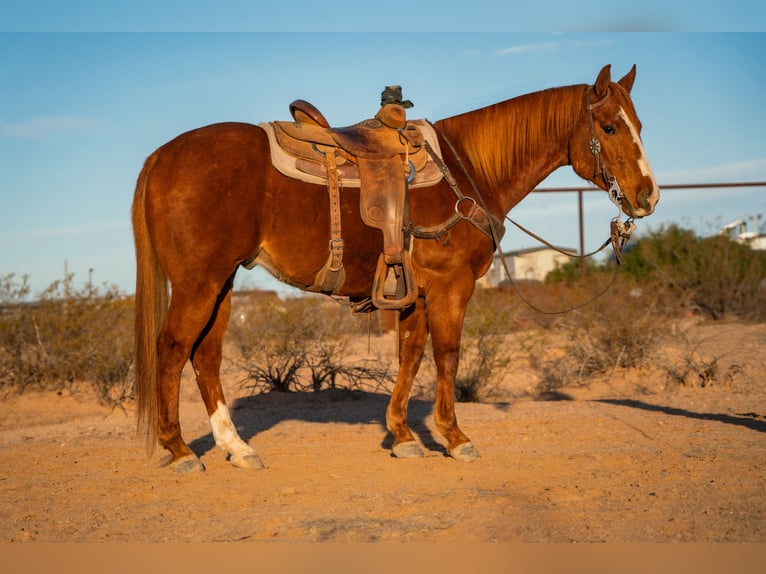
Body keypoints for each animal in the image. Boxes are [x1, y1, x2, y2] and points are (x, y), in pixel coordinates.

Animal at [132, 65, 660, 474]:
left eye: (639, 124)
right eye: (609, 128)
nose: (648, 196)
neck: (467, 171)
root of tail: (160, 156)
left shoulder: (414, 293)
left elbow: (410, 354)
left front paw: (404, 436)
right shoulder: (450, 286)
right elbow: (447, 354)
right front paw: (454, 437)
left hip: (222, 283)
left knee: (206, 357)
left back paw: (237, 448)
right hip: (200, 283)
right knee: (173, 348)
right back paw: (180, 450)